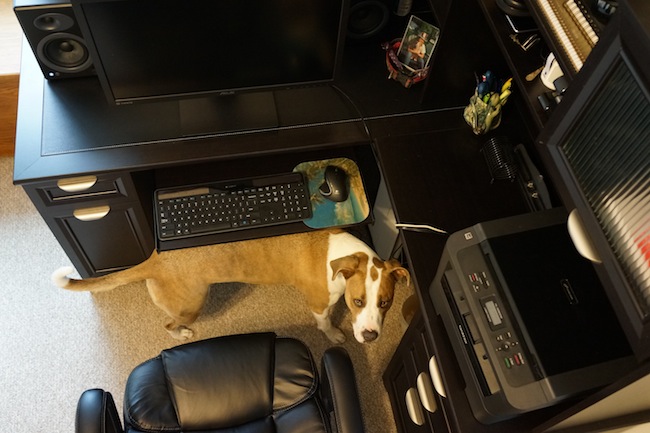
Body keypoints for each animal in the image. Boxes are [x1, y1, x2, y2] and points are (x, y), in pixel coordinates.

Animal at [52, 228, 404, 342]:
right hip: (191, 305)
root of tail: (154, 259)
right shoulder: (320, 304)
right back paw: (181, 333)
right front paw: (332, 334)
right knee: (169, 323)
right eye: (357, 302)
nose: (371, 337)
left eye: (385, 302)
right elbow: (325, 322)